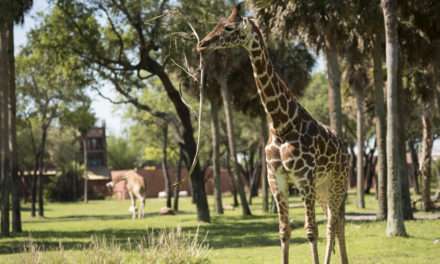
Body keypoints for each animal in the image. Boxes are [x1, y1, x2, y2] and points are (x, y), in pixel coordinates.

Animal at [198, 4, 348, 264]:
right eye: (217, 24)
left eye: (228, 28)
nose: (203, 43)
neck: (281, 124)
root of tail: (347, 151)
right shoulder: (275, 179)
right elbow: (284, 231)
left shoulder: (304, 179)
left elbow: (311, 231)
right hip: (323, 187)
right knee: (336, 221)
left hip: (338, 182)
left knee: (333, 223)